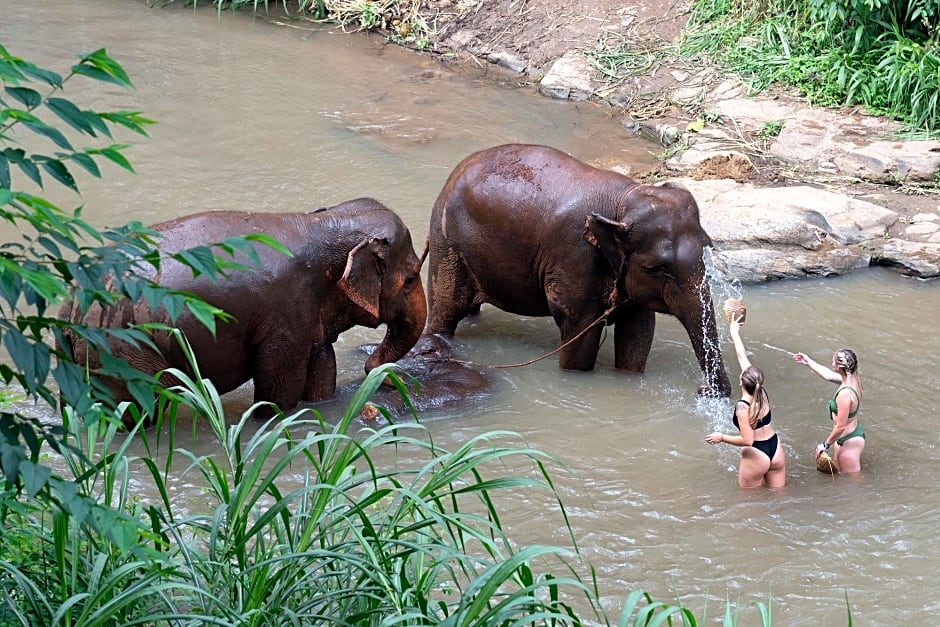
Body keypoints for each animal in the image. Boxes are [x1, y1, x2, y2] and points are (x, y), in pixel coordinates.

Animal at [58, 197, 428, 423]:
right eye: (411, 278)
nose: (388, 379)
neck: (325, 223)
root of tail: (70, 302)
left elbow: (322, 373)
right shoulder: (285, 314)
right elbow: (280, 390)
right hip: (119, 351)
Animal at [425, 143, 731, 396]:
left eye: (708, 248)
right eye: (658, 268)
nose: (703, 389)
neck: (623, 201)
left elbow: (638, 333)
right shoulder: (574, 258)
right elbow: (580, 334)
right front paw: (576, 377)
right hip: (447, 243)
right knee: (445, 310)